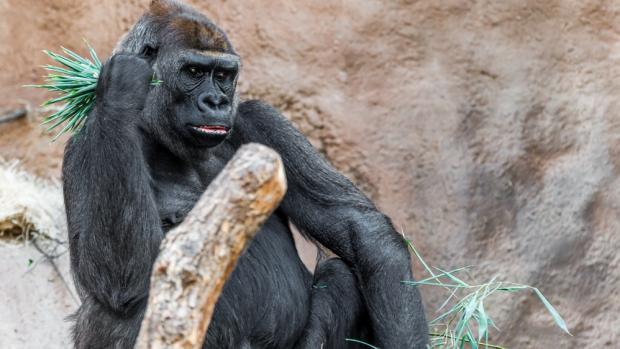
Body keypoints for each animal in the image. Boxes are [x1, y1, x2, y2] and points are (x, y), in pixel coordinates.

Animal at [63, 1, 428, 346]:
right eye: (193, 71)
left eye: (224, 75)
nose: (216, 102)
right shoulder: (83, 144)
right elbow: (119, 276)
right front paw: (119, 88)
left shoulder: (260, 120)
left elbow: (361, 229)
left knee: (341, 274)